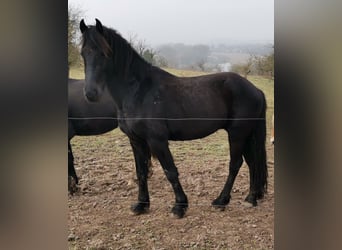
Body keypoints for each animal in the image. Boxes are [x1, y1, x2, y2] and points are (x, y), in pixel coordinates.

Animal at [79, 19, 268, 219]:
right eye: (83, 53)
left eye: (104, 53)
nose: (91, 93)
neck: (139, 91)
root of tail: (255, 89)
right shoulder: (136, 140)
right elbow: (141, 172)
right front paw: (141, 205)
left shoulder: (157, 140)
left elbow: (170, 171)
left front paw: (180, 206)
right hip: (246, 134)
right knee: (252, 162)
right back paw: (251, 198)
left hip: (237, 133)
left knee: (235, 164)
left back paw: (221, 201)